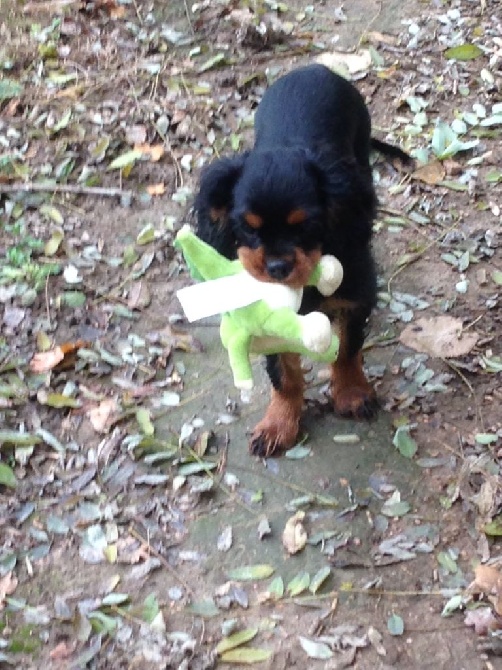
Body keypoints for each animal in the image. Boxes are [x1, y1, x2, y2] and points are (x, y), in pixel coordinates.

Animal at [194, 63, 410, 460]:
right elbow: (284, 374)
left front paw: (351, 393)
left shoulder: (354, 297)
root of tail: (316, 67)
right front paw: (278, 424)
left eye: (305, 227)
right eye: (247, 229)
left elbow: (348, 349)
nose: (277, 268)